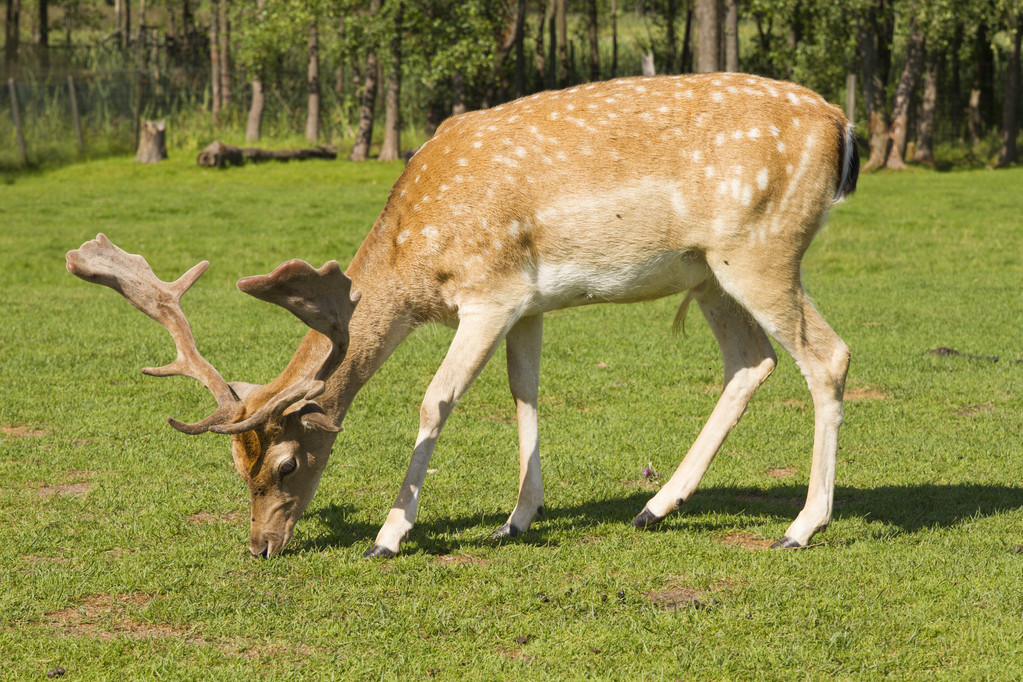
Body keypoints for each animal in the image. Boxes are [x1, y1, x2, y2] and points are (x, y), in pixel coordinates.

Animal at [68, 70, 859, 560]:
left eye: (288, 464)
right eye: (240, 468)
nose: (262, 547)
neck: (416, 258)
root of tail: (843, 125)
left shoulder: (489, 294)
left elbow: (435, 401)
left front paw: (389, 534)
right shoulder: (528, 304)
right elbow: (524, 394)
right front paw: (516, 519)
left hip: (761, 250)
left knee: (828, 355)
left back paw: (801, 526)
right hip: (709, 271)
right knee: (751, 360)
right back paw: (655, 505)